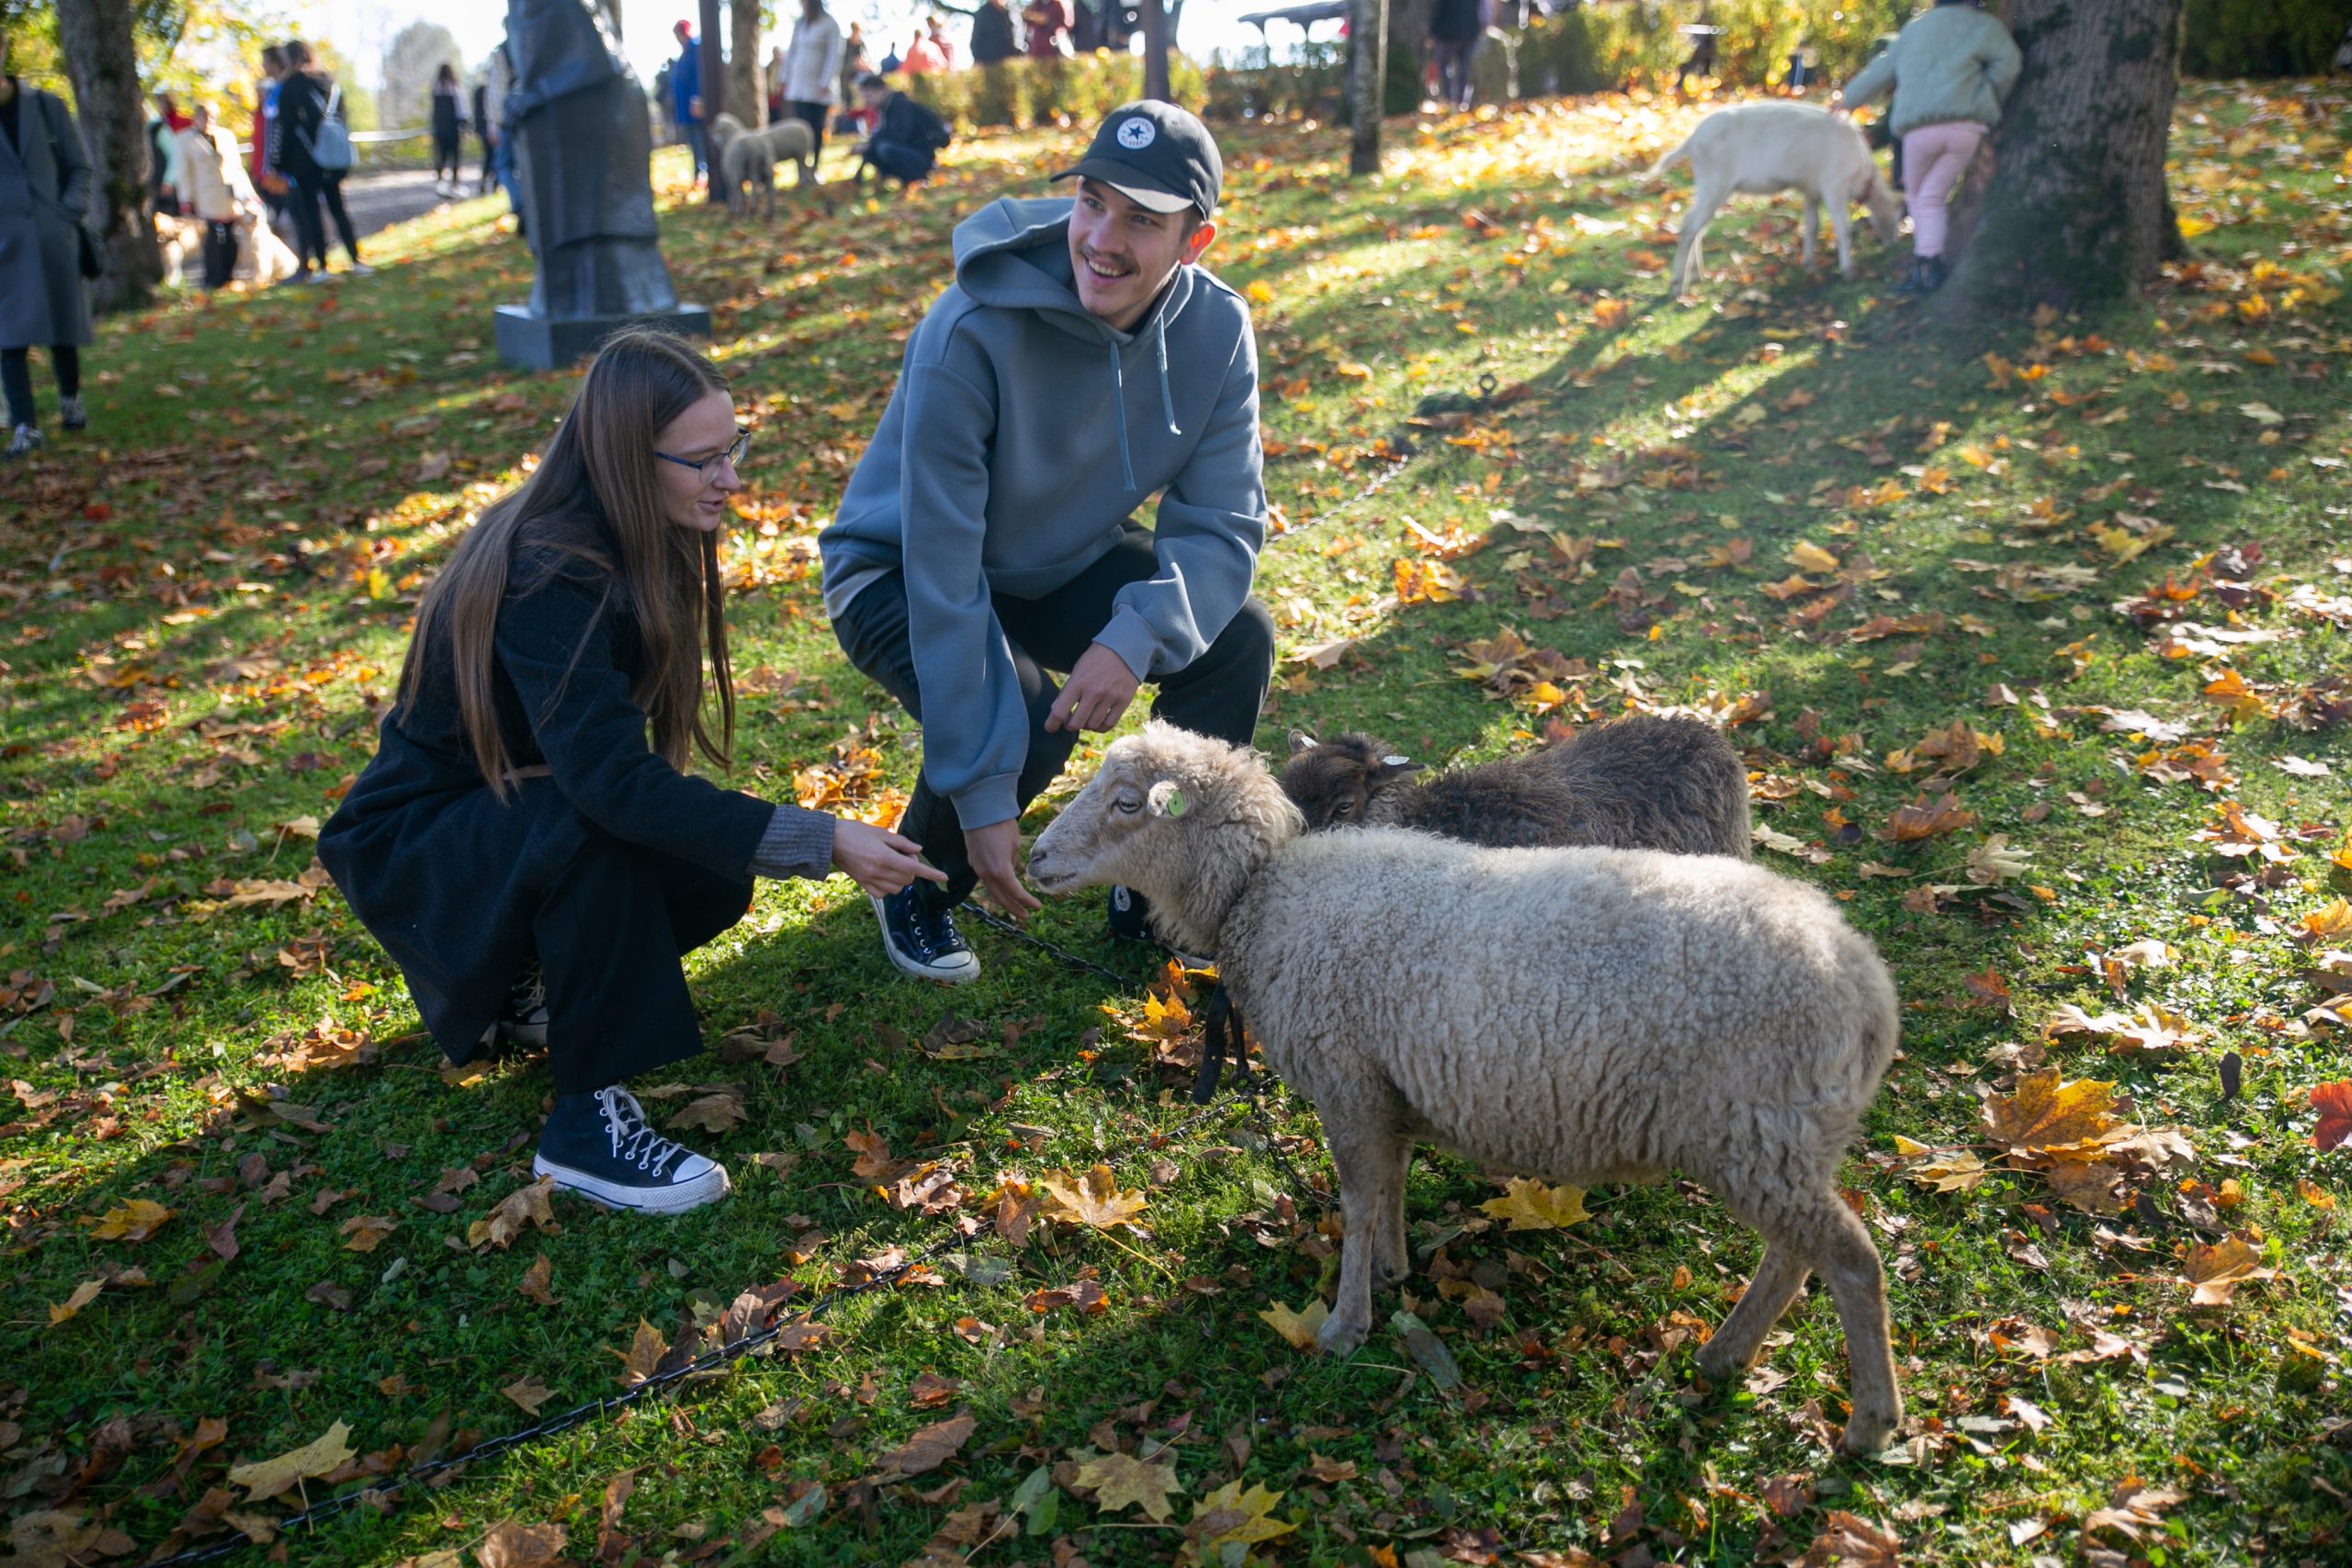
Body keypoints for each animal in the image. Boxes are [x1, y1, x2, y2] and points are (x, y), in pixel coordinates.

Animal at [1648, 101, 1903, 296]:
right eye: (1897, 220)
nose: (1892, 244)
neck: (1862, 176)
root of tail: (1693, 138)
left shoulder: (1811, 190)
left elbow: (1812, 226)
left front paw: (1809, 265)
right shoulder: (1833, 187)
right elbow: (1844, 230)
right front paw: (1848, 270)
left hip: (1708, 187)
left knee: (1697, 228)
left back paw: (1696, 275)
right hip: (1714, 183)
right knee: (1689, 226)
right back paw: (1678, 287)